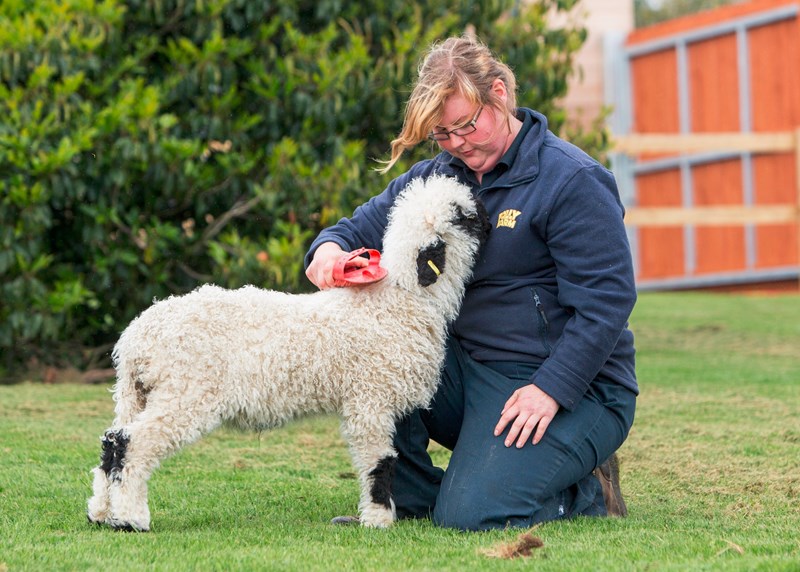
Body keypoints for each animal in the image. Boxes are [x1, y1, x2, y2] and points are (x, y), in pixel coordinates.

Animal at [86, 174, 488, 532]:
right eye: (463, 215)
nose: (487, 216)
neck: (400, 299)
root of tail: (136, 338)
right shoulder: (368, 399)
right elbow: (380, 462)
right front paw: (378, 521)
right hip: (186, 391)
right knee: (130, 443)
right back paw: (131, 519)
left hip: (136, 393)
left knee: (110, 441)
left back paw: (101, 514)